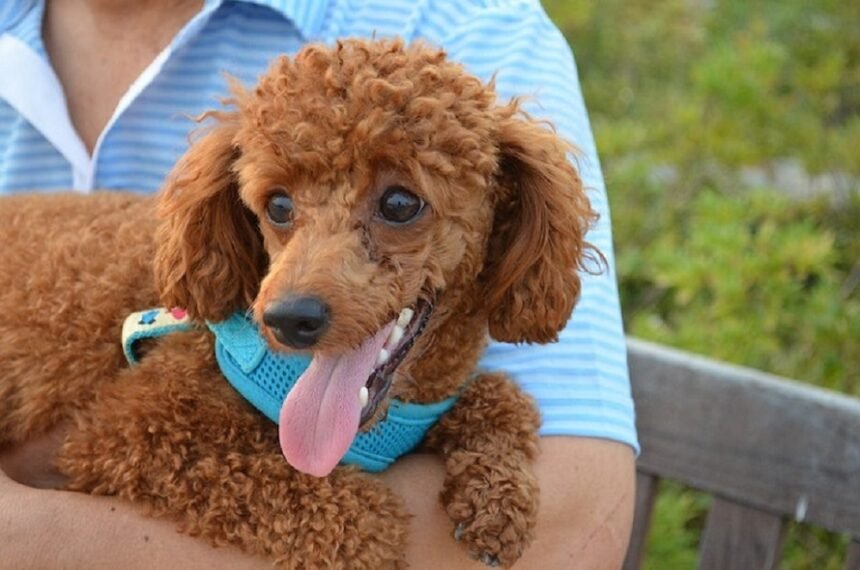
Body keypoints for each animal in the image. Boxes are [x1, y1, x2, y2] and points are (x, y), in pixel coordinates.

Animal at [0, 40, 596, 568]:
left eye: (400, 203)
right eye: (278, 205)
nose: (288, 319)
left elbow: (504, 398)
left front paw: (498, 495)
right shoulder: (125, 435)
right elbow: (354, 519)